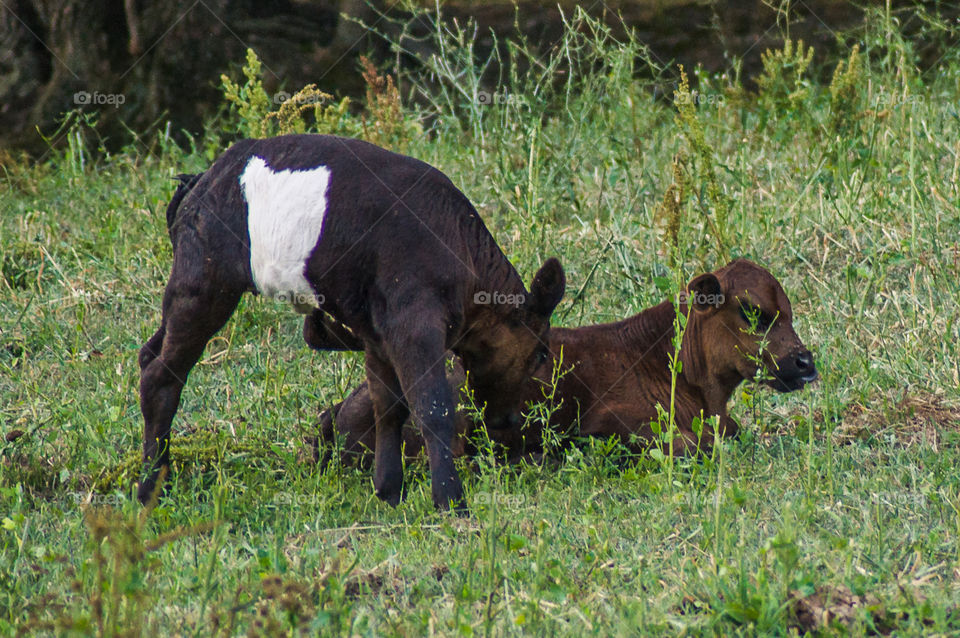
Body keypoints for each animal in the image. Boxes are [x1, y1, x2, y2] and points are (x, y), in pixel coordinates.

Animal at [138, 134, 565, 512]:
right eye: (541, 355)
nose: (508, 419)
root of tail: (203, 178)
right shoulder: (414, 322)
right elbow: (432, 408)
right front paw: (451, 503)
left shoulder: (378, 333)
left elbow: (388, 406)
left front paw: (390, 492)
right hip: (205, 284)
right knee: (162, 375)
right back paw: (151, 489)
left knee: (147, 355)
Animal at [309, 259, 817, 465]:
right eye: (751, 311)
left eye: (789, 311)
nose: (805, 362)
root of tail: (339, 410)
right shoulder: (615, 426)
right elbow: (697, 445)